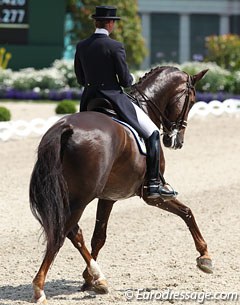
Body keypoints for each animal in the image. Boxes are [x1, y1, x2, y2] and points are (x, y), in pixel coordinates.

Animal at [29, 66, 212, 302]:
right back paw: (39, 288)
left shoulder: (108, 197)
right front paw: (205, 257)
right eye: (192, 100)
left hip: (68, 196)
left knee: (74, 232)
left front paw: (88, 279)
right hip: (80, 198)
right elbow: (187, 212)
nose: (176, 142)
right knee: (61, 233)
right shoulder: (151, 196)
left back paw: (99, 278)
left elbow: (99, 237)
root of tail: (65, 127)